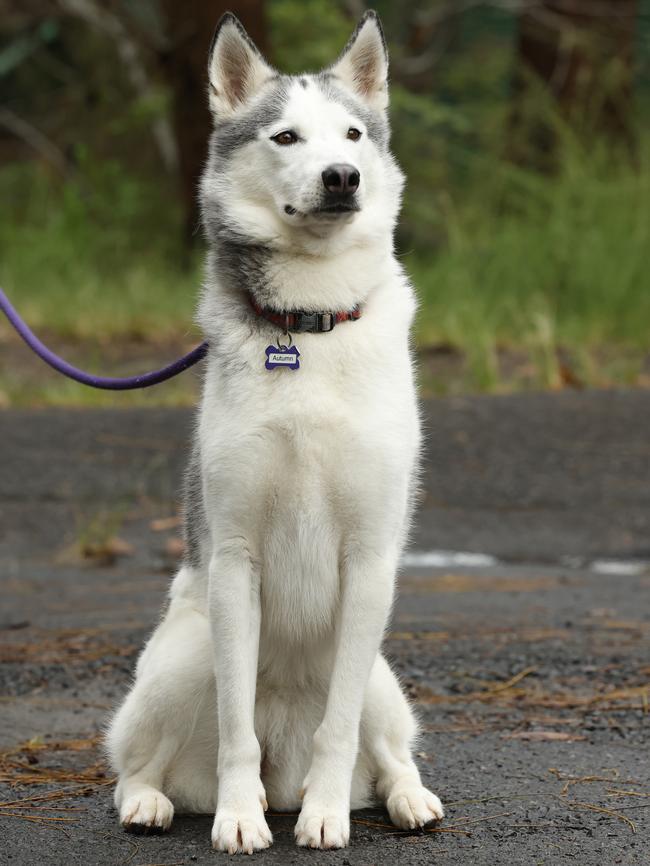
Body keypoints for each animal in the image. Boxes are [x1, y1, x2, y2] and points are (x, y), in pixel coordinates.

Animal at [106, 11, 442, 852]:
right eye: (286, 137)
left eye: (352, 135)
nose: (342, 177)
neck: (310, 325)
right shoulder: (233, 561)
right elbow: (235, 728)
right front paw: (237, 816)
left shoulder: (370, 562)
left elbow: (339, 727)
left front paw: (326, 816)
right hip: (184, 651)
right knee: (140, 762)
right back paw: (155, 803)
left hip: (383, 677)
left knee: (389, 752)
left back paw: (403, 800)